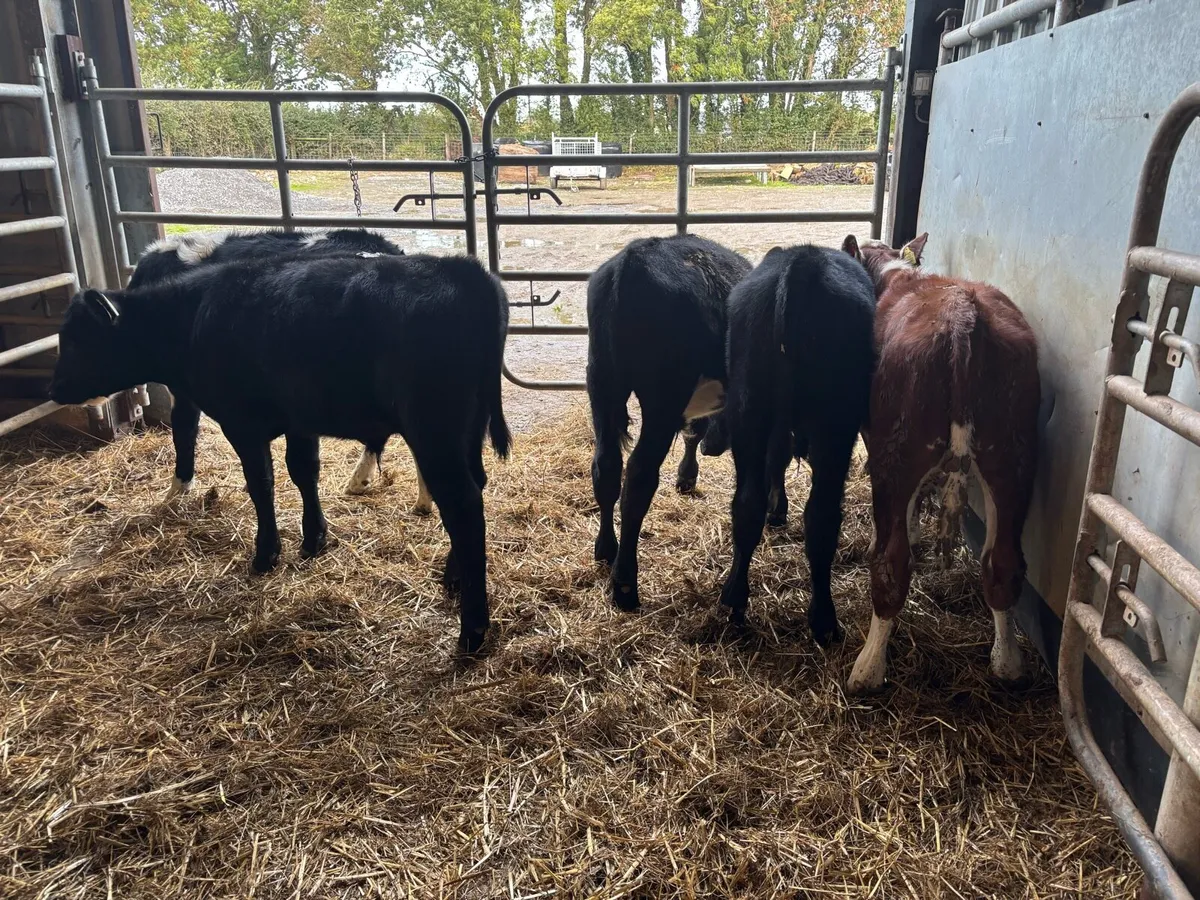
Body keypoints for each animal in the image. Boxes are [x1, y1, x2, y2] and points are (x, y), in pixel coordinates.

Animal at [587, 234, 752, 610]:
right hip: (662, 398)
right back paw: (625, 584)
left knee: (606, 467)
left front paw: (687, 475)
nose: (715, 448)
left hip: (601, 380)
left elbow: (692, 431)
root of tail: (630, 262)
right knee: (638, 477)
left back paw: (606, 549)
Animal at [717, 244, 877, 646]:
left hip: (749, 409)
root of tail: (802, 263)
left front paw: (778, 508)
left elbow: (777, 459)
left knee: (748, 503)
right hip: (835, 425)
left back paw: (734, 598)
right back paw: (823, 619)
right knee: (821, 515)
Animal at [843, 234, 1039, 693]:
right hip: (1013, 457)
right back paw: (1007, 663)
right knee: (1003, 563)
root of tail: (963, 313)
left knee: (891, 566)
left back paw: (868, 669)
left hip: (896, 454)